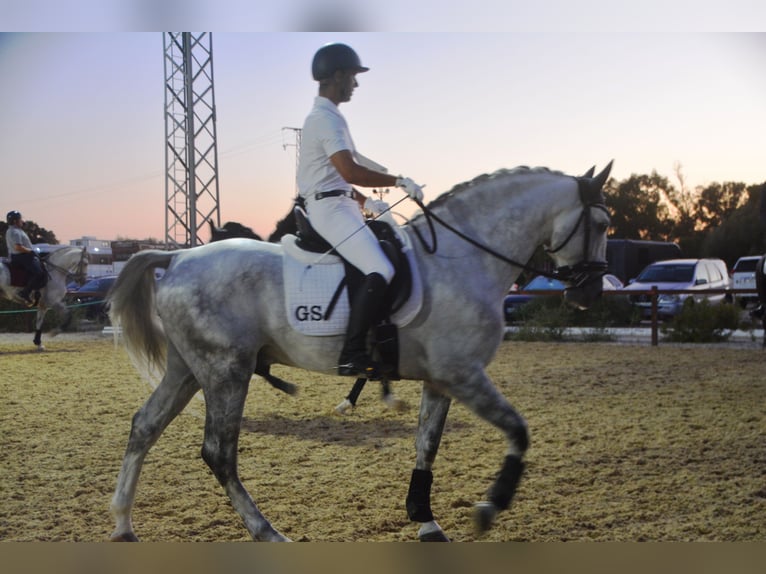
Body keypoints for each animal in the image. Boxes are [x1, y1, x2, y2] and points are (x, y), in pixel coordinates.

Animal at [108, 163, 616, 544]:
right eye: (602, 224)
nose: (591, 293)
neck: (462, 258)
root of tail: (177, 258)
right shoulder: (464, 374)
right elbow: (518, 430)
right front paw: (492, 505)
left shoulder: (441, 379)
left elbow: (426, 445)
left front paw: (426, 521)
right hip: (225, 371)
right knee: (218, 452)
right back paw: (267, 531)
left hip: (188, 370)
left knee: (145, 426)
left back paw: (123, 525)